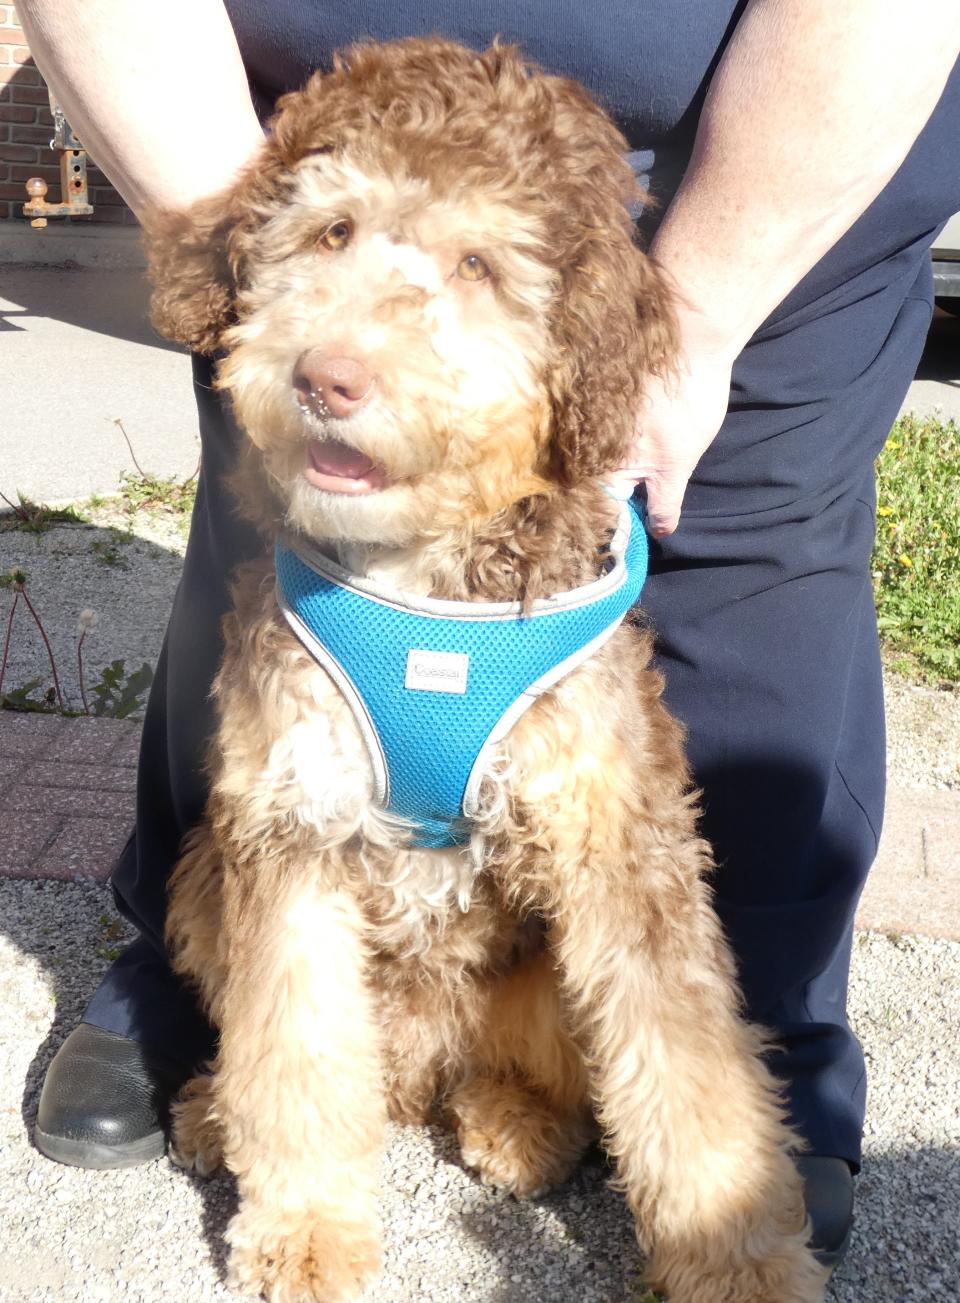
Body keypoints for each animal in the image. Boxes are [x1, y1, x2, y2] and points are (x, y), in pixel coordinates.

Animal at [141, 35, 823, 1303]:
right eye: (332, 231)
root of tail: (417, 1066)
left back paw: (518, 1120)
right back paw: (216, 1111)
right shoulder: (287, 831)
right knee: (297, 1050)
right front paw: (305, 1229)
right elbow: (293, 1048)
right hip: (206, 876)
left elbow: (692, 1069)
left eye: (477, 263)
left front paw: (740, 1258)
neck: (428, 593)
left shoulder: (622, 843)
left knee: (543, 1065)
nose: (328, 377)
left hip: (537, 970)